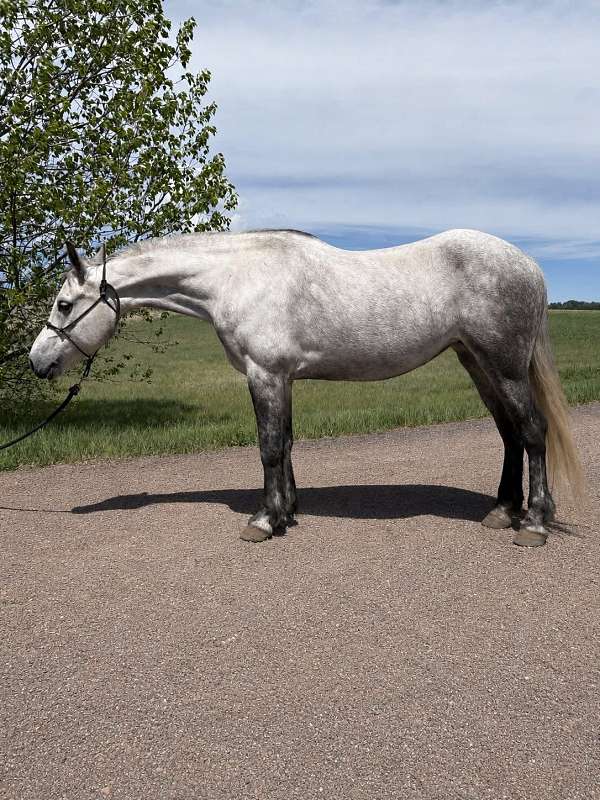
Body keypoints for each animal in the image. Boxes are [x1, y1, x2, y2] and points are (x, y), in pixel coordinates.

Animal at [29, 228, 584, 547]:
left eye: (62, 304)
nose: (38, 362)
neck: (237, 278)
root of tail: (529, 267)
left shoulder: (265, 373)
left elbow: (270, 446)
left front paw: (263, 521)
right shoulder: (282, 378)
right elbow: (288, 443)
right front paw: (287, 511)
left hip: (504, 367)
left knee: (532, 432)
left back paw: (534, 523)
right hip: (477, 364)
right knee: (510, 435)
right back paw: (502, 512)